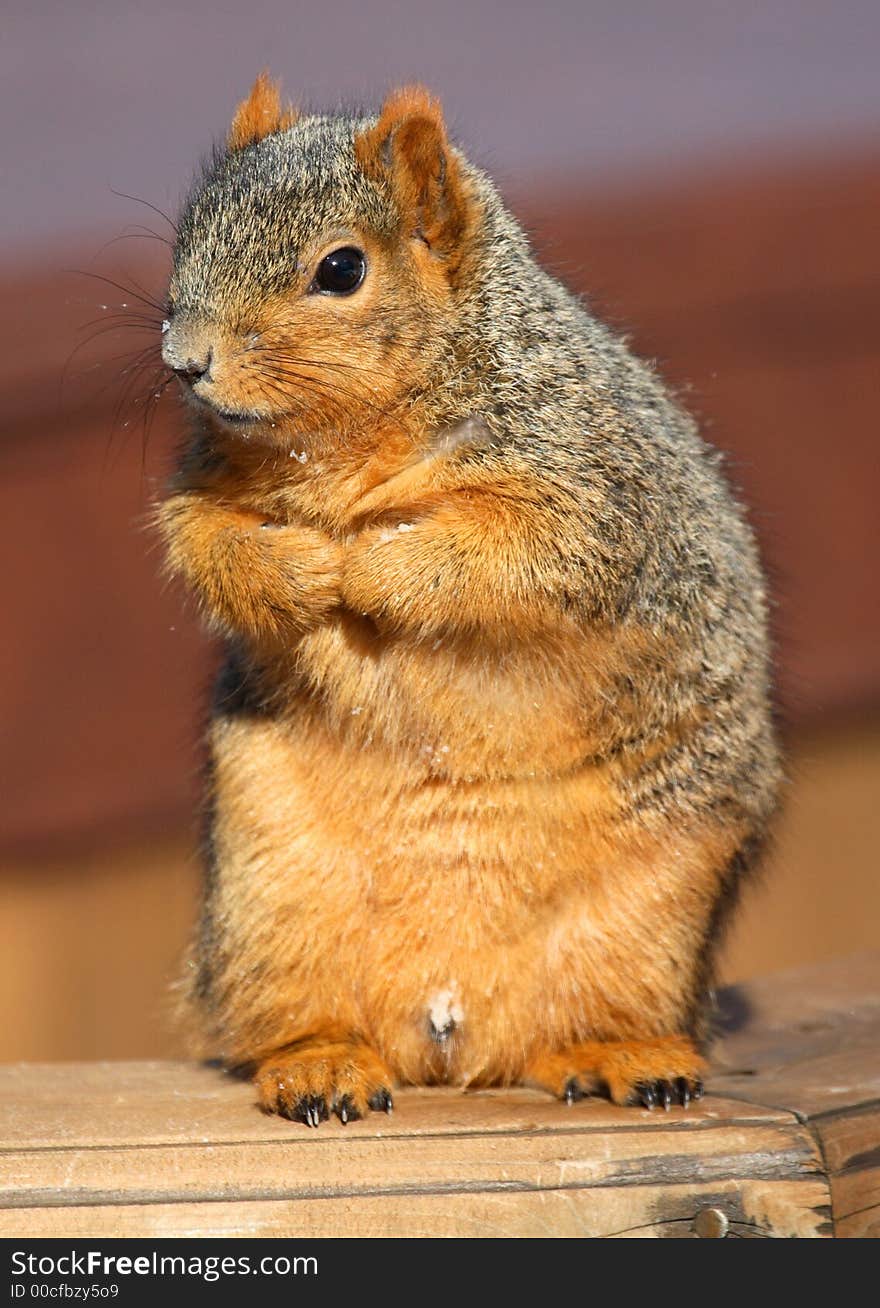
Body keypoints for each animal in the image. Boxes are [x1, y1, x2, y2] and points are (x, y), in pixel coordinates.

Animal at [154, 74, 779, 1124]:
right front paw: (297, 572)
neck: (339, 452)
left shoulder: (591, 490)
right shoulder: (207, 482)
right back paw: (321, 1065)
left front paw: (368, 569)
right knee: (302, 1015)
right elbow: (205, 546)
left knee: (591, 1013)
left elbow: (517, 558)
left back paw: (625, 1054)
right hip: (270, 894)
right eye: (189, 233)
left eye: (341, 269)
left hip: (656, 906)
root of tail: (453, 1037)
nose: (183, 359)